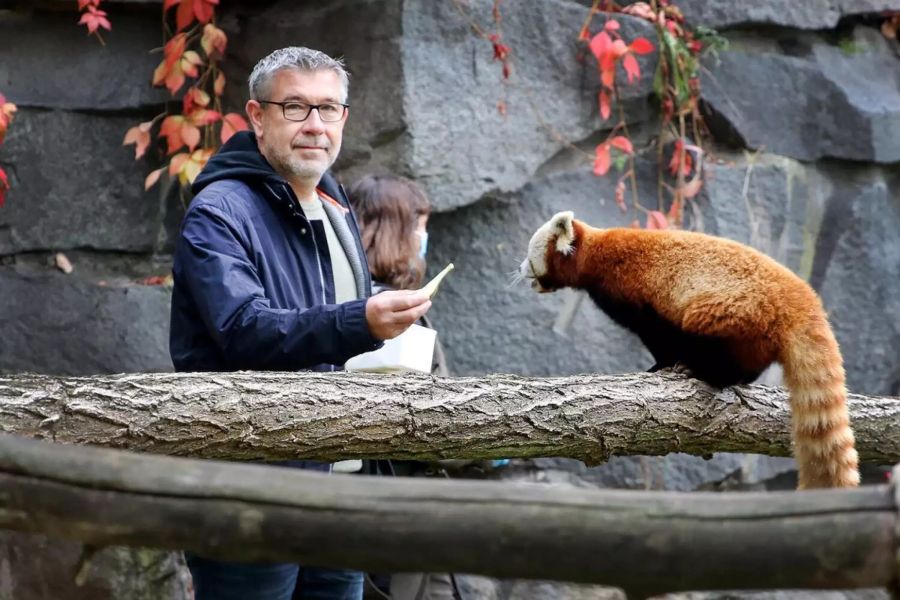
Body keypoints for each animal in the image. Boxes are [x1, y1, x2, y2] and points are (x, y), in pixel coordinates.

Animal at [524, 211, 860, 488]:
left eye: (529, 257)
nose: (520, 270)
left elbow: (659, 335)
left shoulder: (632, 293)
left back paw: (705, 371)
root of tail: (803, 301)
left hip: (736, 312)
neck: (596, 252)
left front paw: (661, 366)